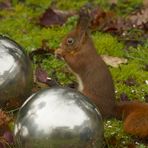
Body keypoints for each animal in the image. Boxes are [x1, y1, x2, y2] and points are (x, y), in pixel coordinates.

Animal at [54, 8, 148, 138]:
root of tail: (112, 109)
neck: (82, 48)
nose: (60, 45)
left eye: (70, 41)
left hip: (90, 96)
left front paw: (61, 52)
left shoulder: (83, 60)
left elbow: (74, 64)